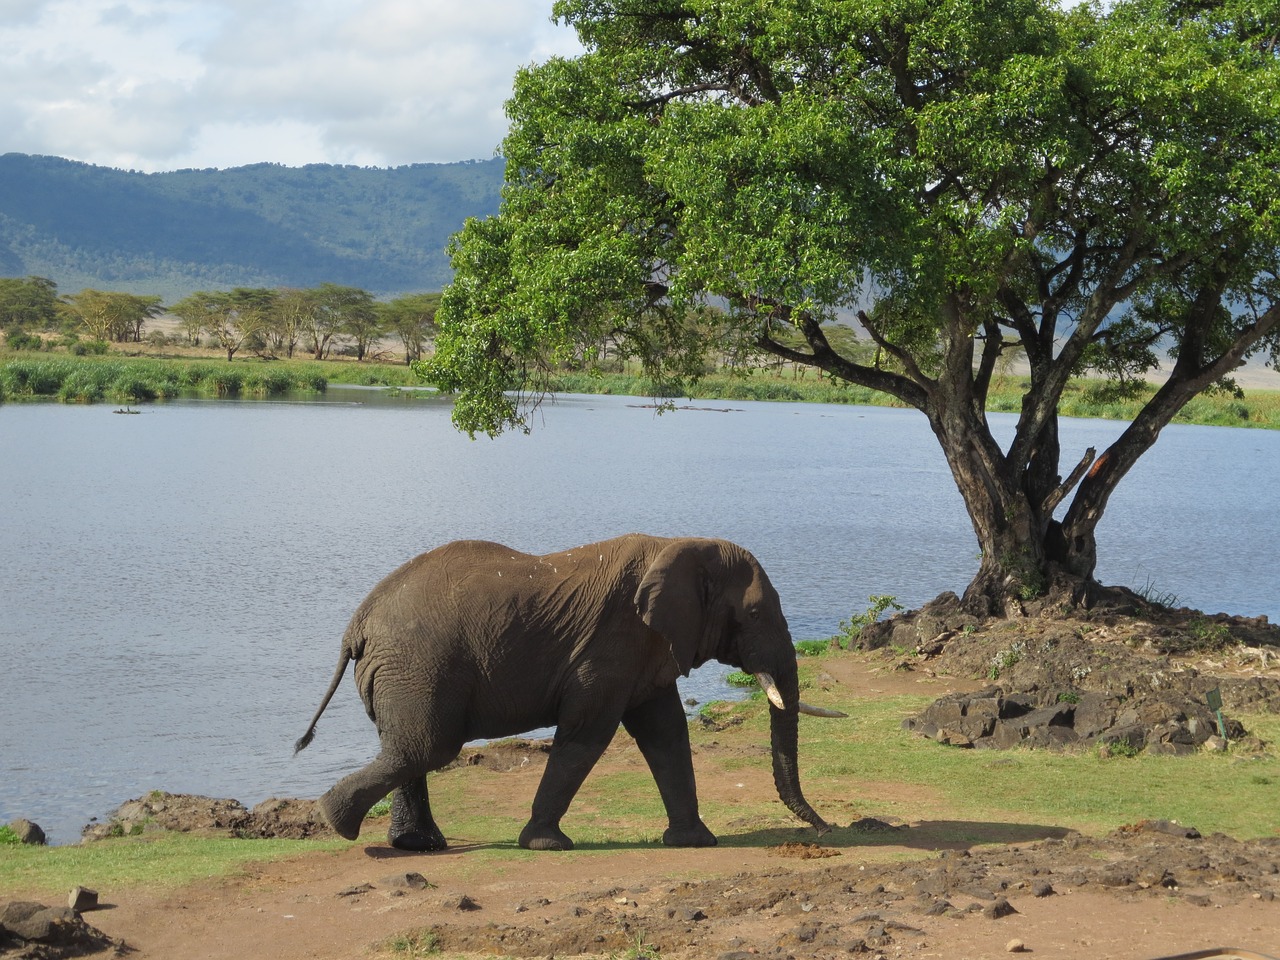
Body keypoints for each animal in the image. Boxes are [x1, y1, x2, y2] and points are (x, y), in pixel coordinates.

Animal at [294, 535, 844, 855]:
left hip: (405, 671)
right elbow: (588, 732)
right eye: (753, 614)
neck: (682, 545)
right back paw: (335, 823)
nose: (827, 830)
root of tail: (357, 624)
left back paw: (416, 846)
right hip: (416, 665)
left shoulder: (645, 647)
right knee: (427, 747)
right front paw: (546, 845)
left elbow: (665, 733)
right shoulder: (611, 641)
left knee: (412, 749)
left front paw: (694, 843)